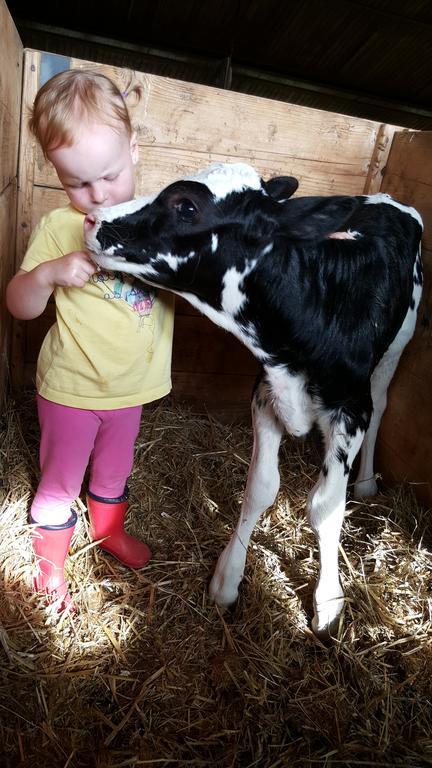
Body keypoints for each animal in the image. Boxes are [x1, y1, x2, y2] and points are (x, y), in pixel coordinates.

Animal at [86, 162, 424, 636]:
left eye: (186, 206)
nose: (93, 219)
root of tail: (388, 199)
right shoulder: (266, 392)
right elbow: (261, 487)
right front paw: (227, 580)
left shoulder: (350, 409)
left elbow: (325, 506)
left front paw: (328, 601)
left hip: (399, 343)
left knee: (382, 405)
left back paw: (367, 483)